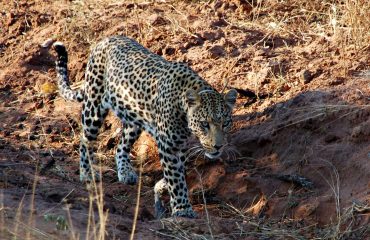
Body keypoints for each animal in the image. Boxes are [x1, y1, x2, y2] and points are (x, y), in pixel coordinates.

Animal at [51, 35, 237, 218]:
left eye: (225, 123)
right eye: (204, 124)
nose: (218, 146)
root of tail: (106, 38)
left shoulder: (181, 145)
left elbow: (177, 170)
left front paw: (162, 186)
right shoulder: (168, 145)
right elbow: (175, 178)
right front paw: (182, 209)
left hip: (133, 117)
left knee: (121, 146)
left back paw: (125, 173)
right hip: (94, 107)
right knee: (85, 140)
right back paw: (87, 173)